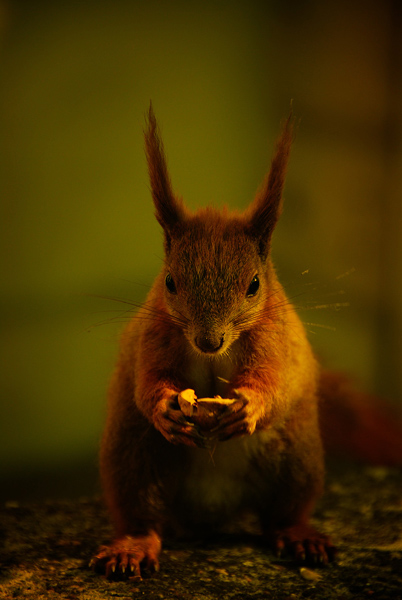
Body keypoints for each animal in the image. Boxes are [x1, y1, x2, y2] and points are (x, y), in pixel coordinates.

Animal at [91, 105, 402, 580]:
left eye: (254, 285)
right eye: (170, 282)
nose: (209, 340)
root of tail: (211, 514)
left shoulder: (276, 340)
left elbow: (274, 381)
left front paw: (251, 405)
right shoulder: (154, 335)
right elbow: (148, 381)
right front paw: (163, 406)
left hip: (296, 462)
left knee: (282, 514)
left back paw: (300, 537)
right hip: (134, 459)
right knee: (143, 514)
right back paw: (133, 546)